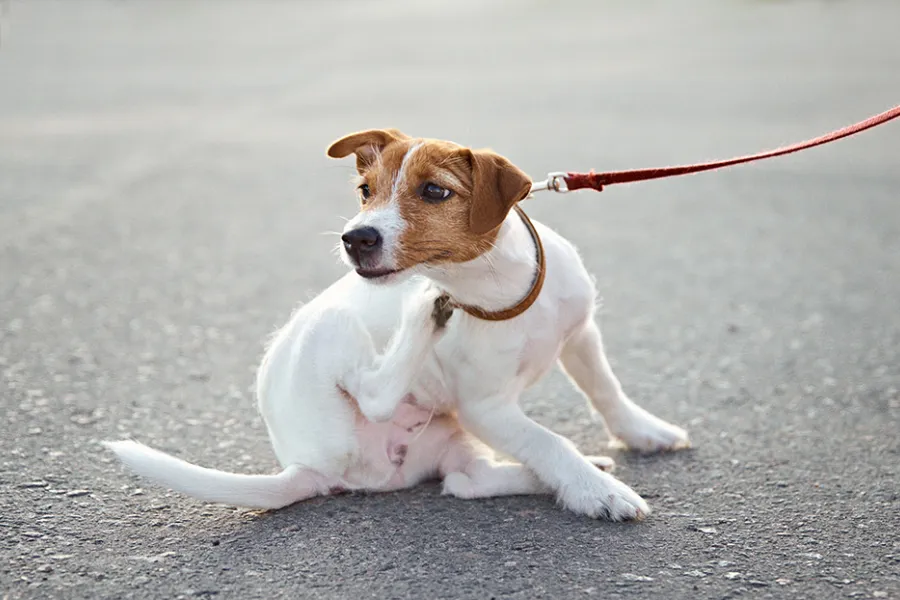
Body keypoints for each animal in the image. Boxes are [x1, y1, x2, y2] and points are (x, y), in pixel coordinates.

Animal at [107, 127, 688, 520]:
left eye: (435, 191)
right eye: (365, 190)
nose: (355, 238)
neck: (497, 294)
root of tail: (304, 464)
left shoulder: (580, 334)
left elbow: (606, 391)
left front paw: (642, 434)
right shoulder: (486, 408)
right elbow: (550, 442)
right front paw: (597, 493)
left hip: (450, 439)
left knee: (465, 482)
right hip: (334, 327)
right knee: (375, 394)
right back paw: (422, 313)